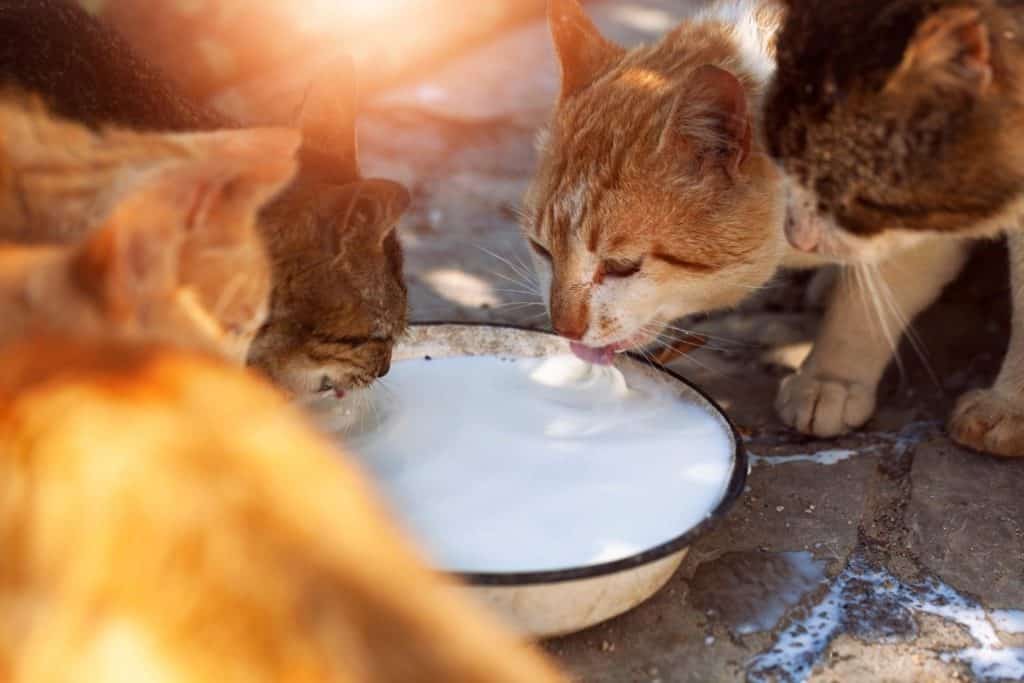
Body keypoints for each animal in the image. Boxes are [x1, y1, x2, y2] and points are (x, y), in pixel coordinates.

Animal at [761, 0, 1024, 456]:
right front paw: (829, 379)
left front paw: (1009, 408)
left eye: (859, 199)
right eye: (781, 156)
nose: (797, 236)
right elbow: (875, 288)